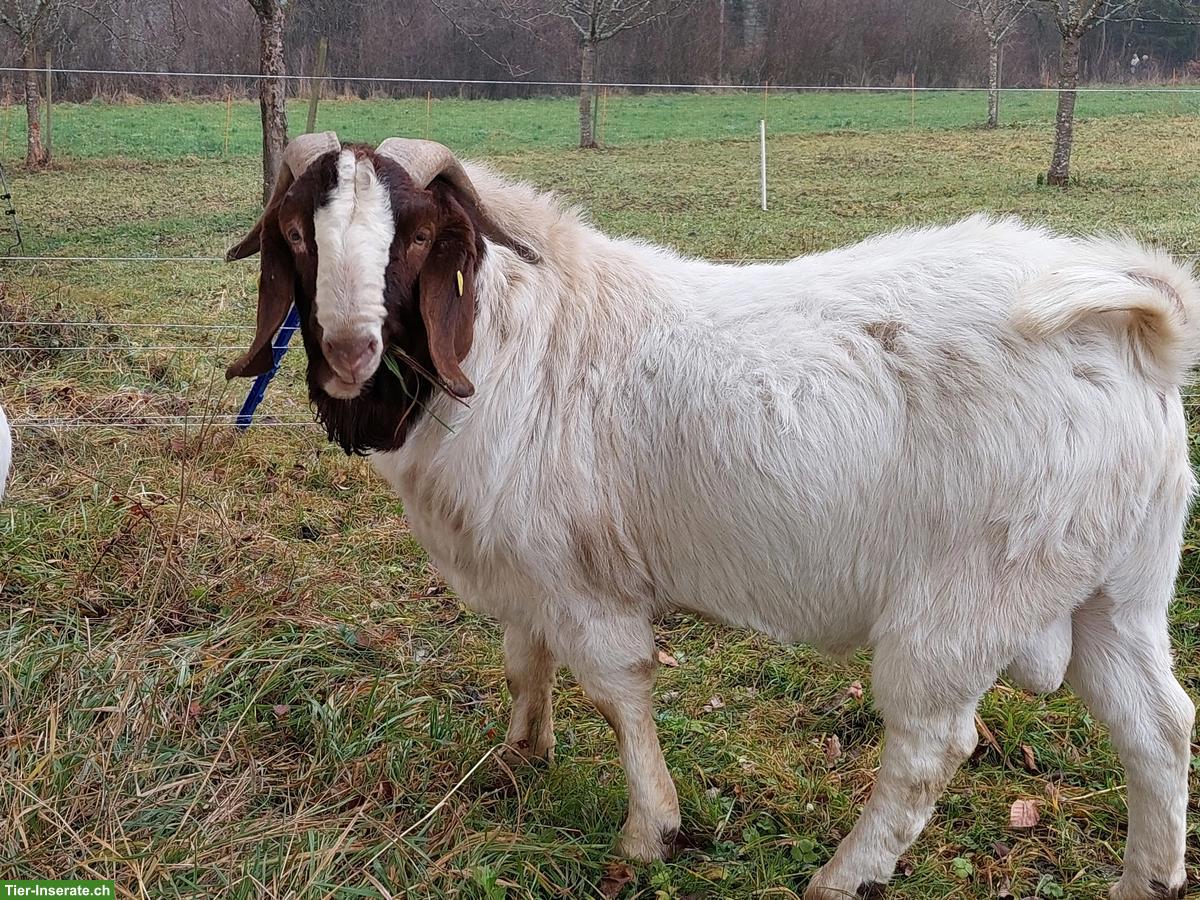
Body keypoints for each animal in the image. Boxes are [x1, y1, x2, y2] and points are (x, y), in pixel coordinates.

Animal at [227, 133, 1198, 900]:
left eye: (420, 234)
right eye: (299, 235)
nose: (349, 350)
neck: (522, 335)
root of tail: (1133, 328)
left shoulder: (581, 579)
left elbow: (618, 692)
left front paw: (648, 831)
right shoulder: (522, 564)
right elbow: (521, 659)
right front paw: (522, 753)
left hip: (966, 600)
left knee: (932, 745)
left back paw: (842, 877)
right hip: (1115, 585)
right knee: (1157, 725)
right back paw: (1145, 879)